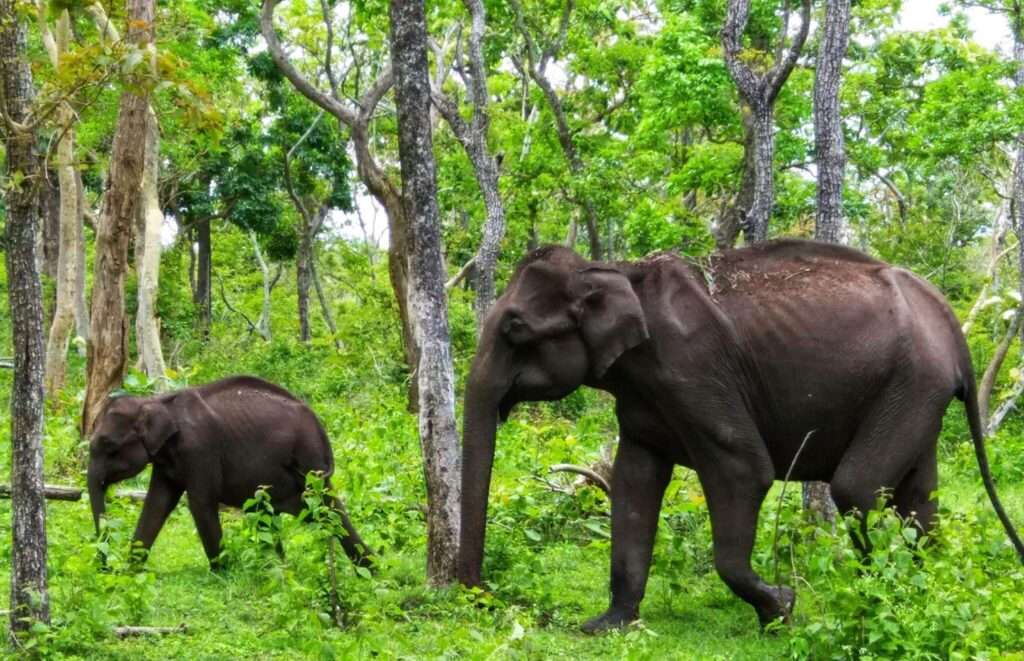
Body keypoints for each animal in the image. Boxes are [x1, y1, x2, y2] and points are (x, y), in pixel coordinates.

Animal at [88, 375, 373, 569]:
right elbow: (157, 502)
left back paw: (371, 569)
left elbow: (200, 502)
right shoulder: (166, 460)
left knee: (328, 507)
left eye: (107, 444)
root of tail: (316, 420)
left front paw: (221, 571)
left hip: (309, 458)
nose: (106, 567)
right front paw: (131, 570)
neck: (154, 402)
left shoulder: (200, 449)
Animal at [457, 239, 1024, 632]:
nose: (486, 599)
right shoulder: (643, 398)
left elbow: (745, 470)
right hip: (918, 393)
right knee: (919, 495)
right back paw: (914, 595)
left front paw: (782, 612)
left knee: (858, 488)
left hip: (912, 384)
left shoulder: (693, 368)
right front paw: (606, 626)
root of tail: (949, 321)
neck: (613, 269)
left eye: (514, 328)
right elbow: (634, 482)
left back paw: (875, 601)